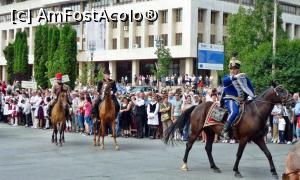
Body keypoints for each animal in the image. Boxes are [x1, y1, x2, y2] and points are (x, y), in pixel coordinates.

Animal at [163, 83, 294, 179]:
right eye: (281, 90)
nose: (292, 101)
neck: (255, 113)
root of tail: (197, 106)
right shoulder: (244, 138)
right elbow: (239, 154)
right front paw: (236, 171)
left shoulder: (258, 138)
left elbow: (268, 154)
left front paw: (274, 172)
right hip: (196, 131)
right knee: (189, 145)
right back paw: (185, 165)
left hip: (210, 132)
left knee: (208, 148)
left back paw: (214, 167)